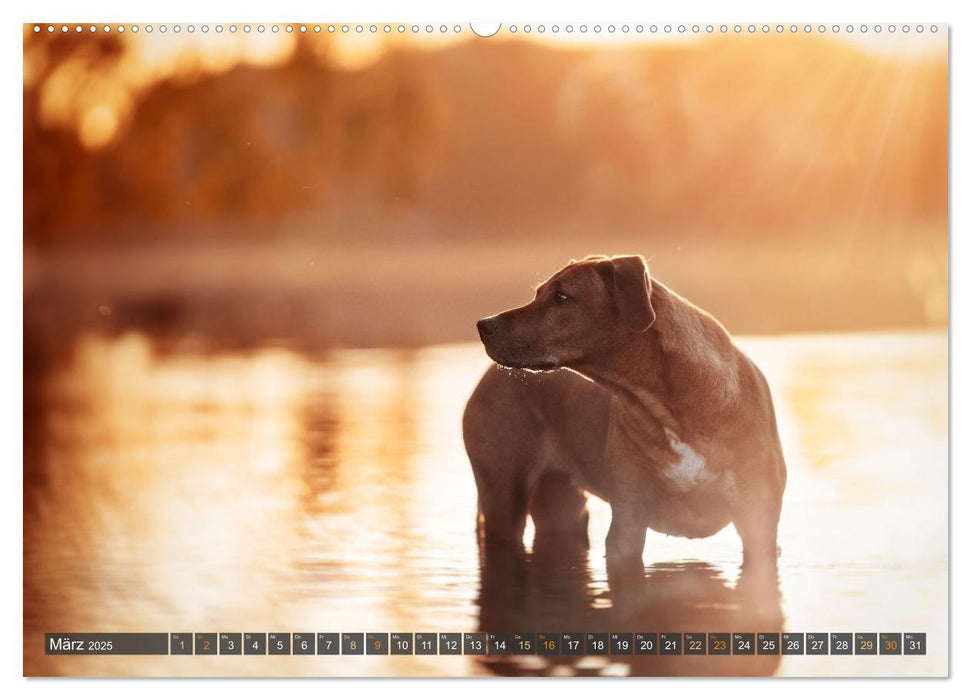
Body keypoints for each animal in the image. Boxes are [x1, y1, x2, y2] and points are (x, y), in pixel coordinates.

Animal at [466, 258, 788, 568]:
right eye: (538, 293)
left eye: (561, 297)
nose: (484, 324)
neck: (672, 408)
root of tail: (486, 375)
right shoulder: (628, 520)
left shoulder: (759, 521)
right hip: (503, 493)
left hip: (559, 506)